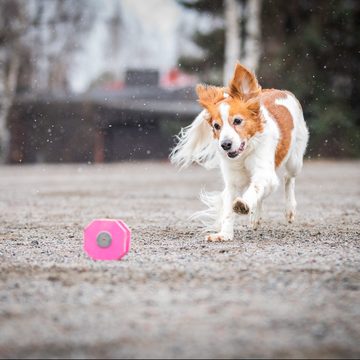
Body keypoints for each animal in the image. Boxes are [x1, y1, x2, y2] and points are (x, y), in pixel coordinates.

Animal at [170, 62, 308, 242]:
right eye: (216, 126)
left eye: (237, 121)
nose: (225, 144)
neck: (245, 153)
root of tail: (283, 92)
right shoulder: (233, 182)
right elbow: (229, 209)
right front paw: (225, 234)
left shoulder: (265, 174)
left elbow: (255, 188)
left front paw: (243, 204)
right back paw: (255, 216)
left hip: (295, 160)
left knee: (288, 178)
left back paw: (289, 209)